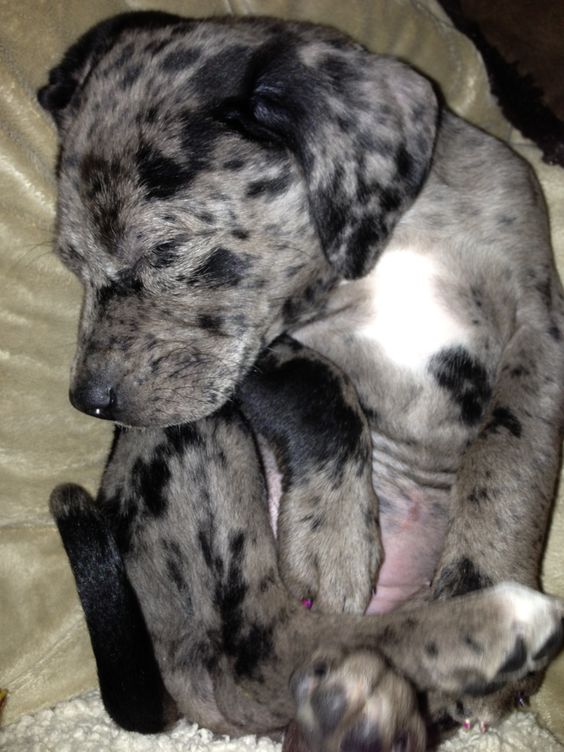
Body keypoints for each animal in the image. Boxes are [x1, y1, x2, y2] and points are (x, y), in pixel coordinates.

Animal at [39, 11, 564, 752]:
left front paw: (480, 571)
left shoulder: (538, 328)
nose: (87, 402)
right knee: (267, 648)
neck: (396, 240)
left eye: (166, 253)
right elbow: (318, 387)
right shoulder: (256, 356)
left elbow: (512, 457)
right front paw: (333, 536)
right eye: (70, 263)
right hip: (188, 448)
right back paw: (481, 633)